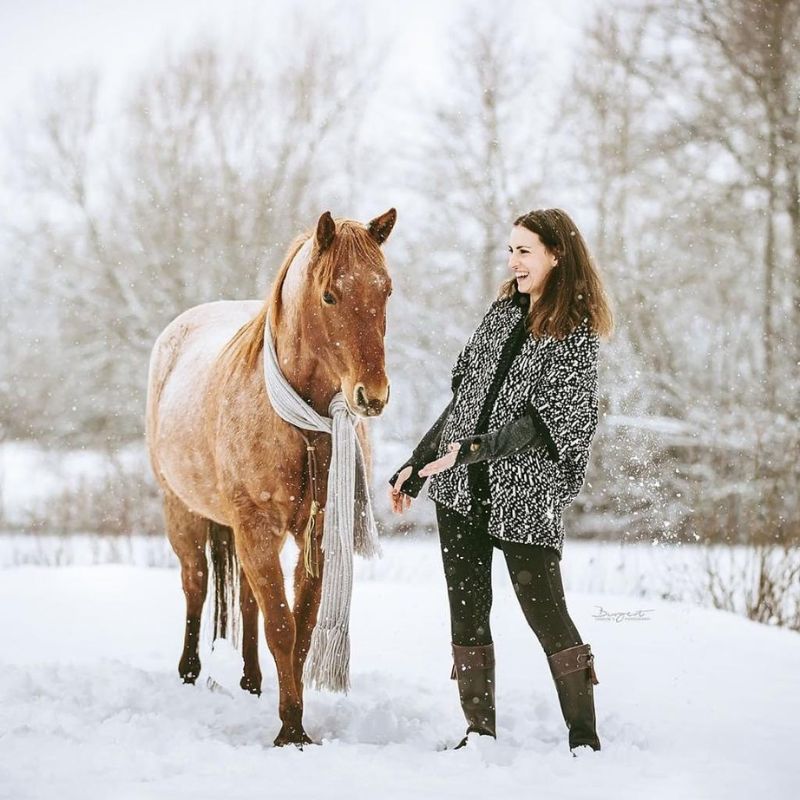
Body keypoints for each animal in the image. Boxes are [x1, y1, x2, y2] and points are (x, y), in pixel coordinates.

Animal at [146, 209, 396, 748]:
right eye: (329, 295)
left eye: (386, 290)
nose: (372, 396)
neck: (302, 425)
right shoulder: (256, 527)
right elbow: (281, 626)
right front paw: (290, 731)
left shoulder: (313, 535)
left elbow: (299, 628)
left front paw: (293, 718)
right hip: (183, 512)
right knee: (196, 585)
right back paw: (189, 672)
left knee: (246, 599)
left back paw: (252, 681)